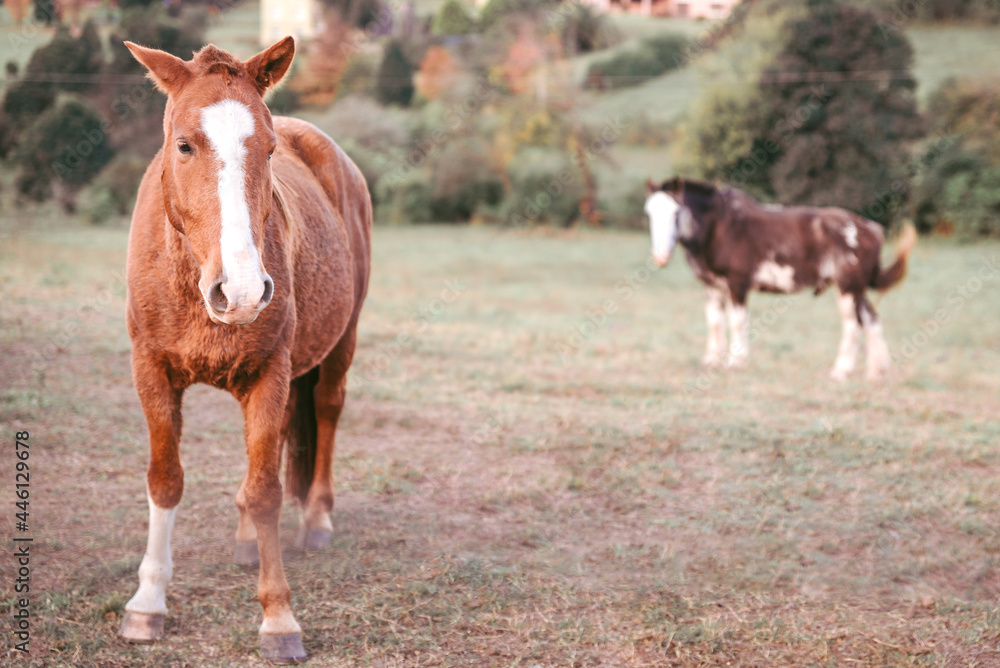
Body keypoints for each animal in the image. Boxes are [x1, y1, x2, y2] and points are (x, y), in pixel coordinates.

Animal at [117, 37, 368, 664]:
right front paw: (147, 604)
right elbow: (166, 480)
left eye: (269, 148)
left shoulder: (268, 374)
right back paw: (248, 539)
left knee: (326, 409)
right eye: (184, 144)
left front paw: (278, 619)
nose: (244, 290)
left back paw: (317, 519)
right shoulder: (150, 372)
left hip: (341, 342)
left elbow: (266, 492)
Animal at [648, 177, 916, 380]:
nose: (659, 257)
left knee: (853, 326)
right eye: (649, 212)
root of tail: (870, 228)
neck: (720, 227)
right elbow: (715, 322)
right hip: (857, 289)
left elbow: (737, 322)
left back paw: (841, 371)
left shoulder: (737, 284)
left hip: (847, 289)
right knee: (871, 321)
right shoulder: (713, 286)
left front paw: (736, 362)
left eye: (675, 212)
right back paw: (876, 371)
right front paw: (711, 361)